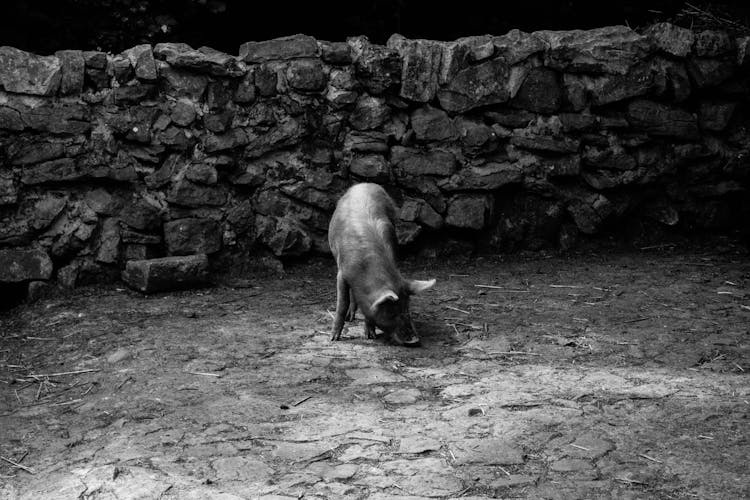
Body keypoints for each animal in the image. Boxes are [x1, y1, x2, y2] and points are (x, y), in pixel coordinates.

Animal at [328, 182, 434, 346]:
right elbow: (342, 304)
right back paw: (350, 318)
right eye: (392, 312)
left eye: (407, 308)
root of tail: (366, 184)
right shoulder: (342, 274)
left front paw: (370, 336)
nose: (415, 340)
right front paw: (334, 338)